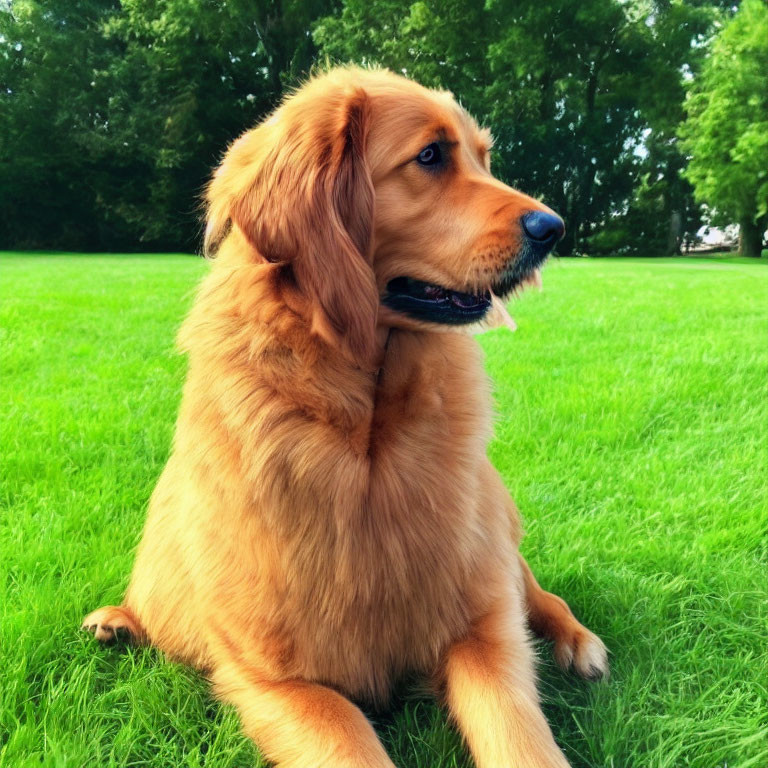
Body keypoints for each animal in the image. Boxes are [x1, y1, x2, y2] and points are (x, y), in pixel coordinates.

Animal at [82, 67, 608, 768]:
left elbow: (517, 729)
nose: (554, 228)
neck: (366, 438)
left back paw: (578, 642)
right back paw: (117, 621)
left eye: (483, 157)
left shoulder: (481, 621)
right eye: (431, 156)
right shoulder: (277, 680)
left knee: (537, 591)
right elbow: (350, 740)